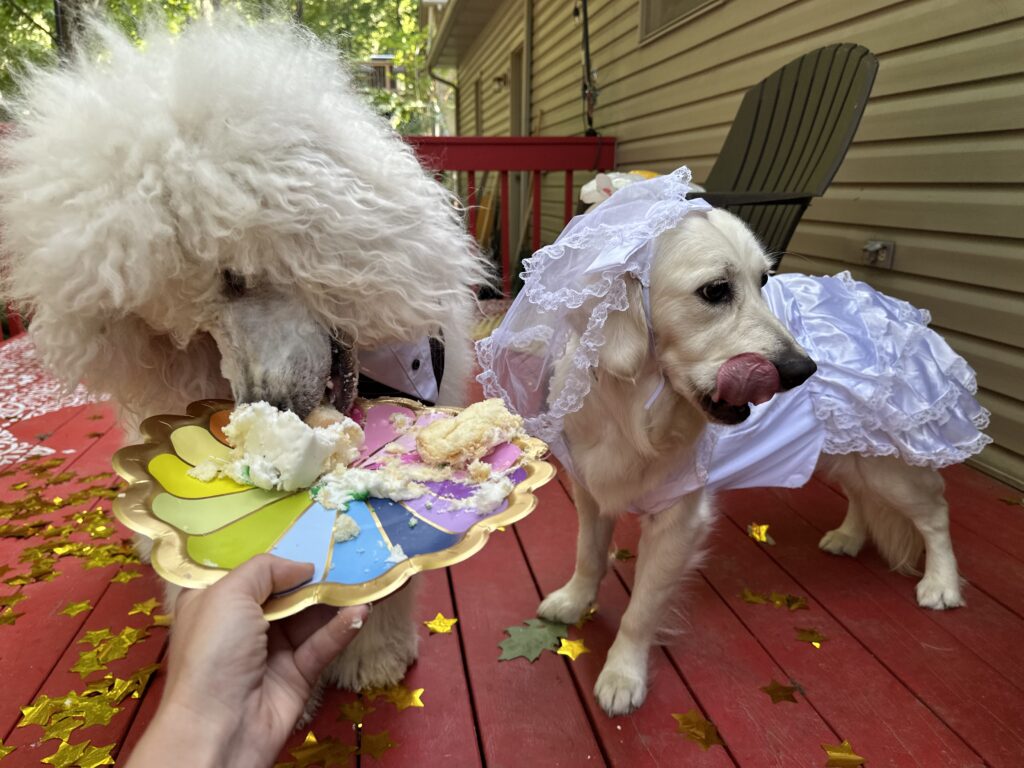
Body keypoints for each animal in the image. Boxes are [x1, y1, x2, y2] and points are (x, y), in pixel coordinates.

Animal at [479, 170, 989, 716]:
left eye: (764, 280)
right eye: (716, 290)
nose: (803, 370)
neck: (635, 408)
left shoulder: (678, 519)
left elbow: (641, 609)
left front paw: (622, 674)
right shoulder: (593, 491)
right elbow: (588, 556)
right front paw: (574, 601)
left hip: (890, 466)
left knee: (935, 515)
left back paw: (941, 583)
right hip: (851, 451)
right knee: (862, 497)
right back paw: (848, 537)